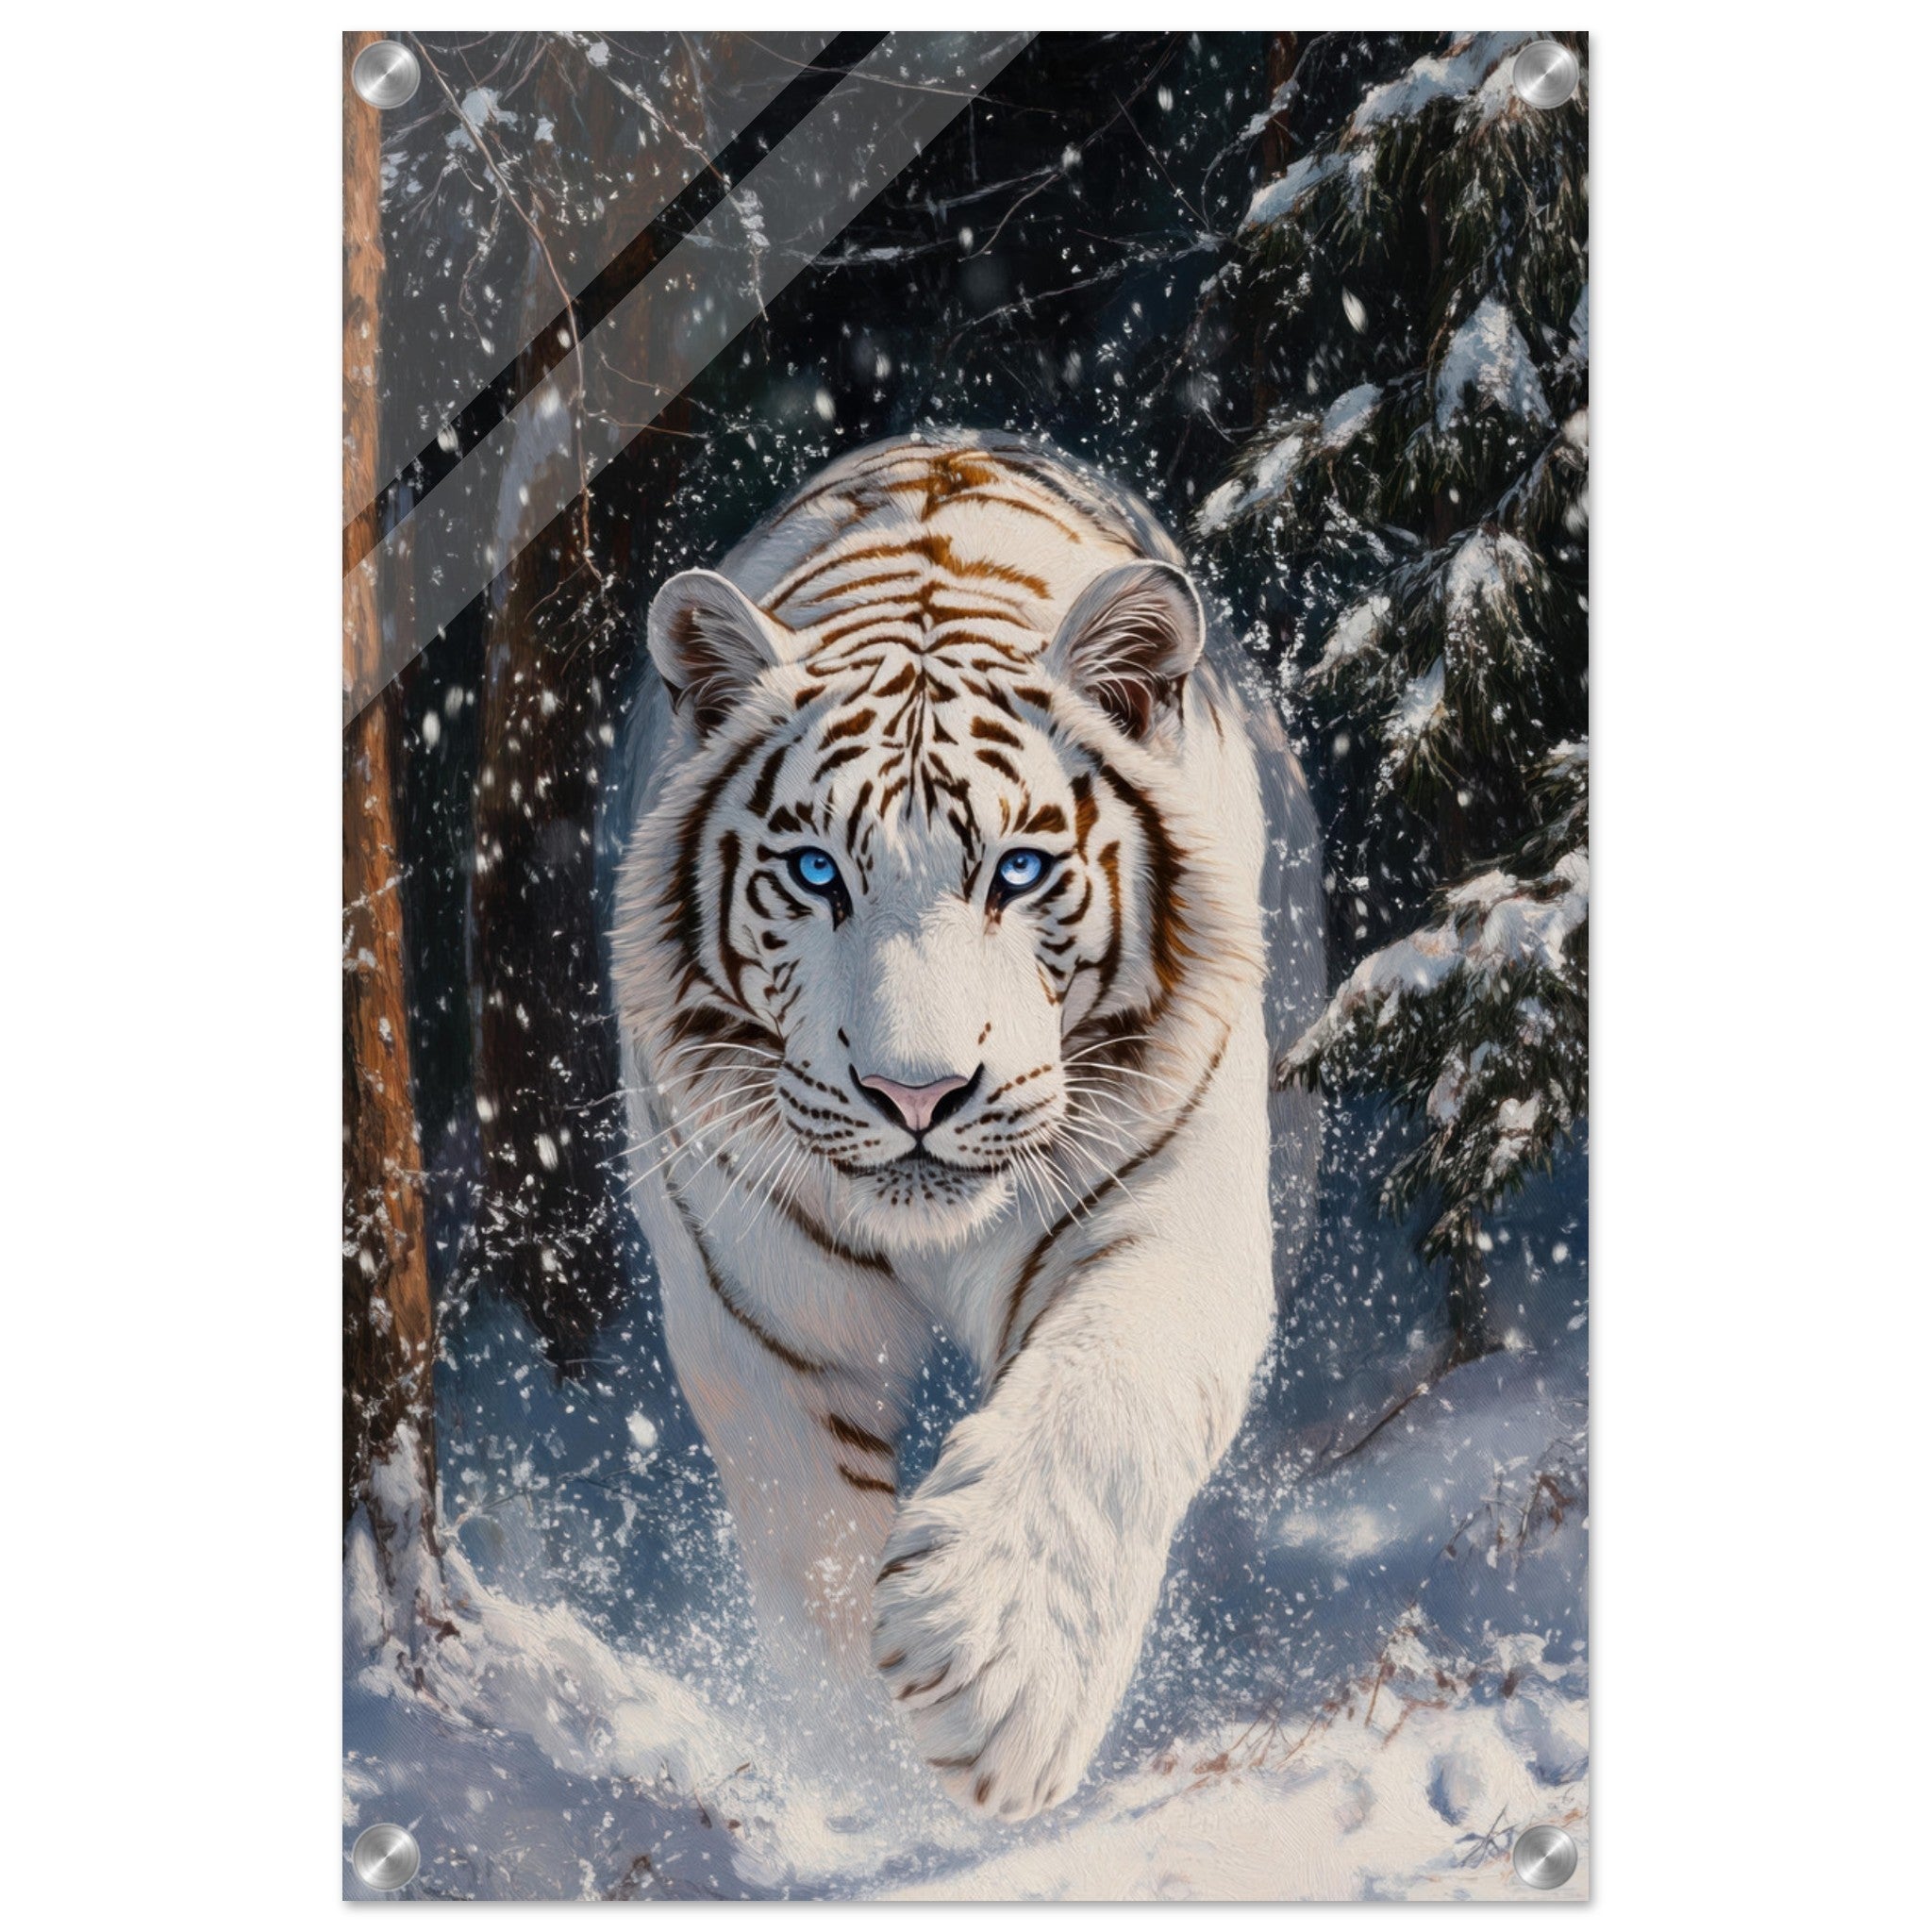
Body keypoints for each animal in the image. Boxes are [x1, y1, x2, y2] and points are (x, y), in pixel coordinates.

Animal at [609, 429, 1323, 1822]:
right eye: (816, 873)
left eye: (1021, 871)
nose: (916, 1094)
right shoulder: (756, 1306)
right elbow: (809, 1544)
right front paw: (866, 1774)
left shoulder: (1171, 1215)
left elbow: (1104, 1407)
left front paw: (992, 1672)